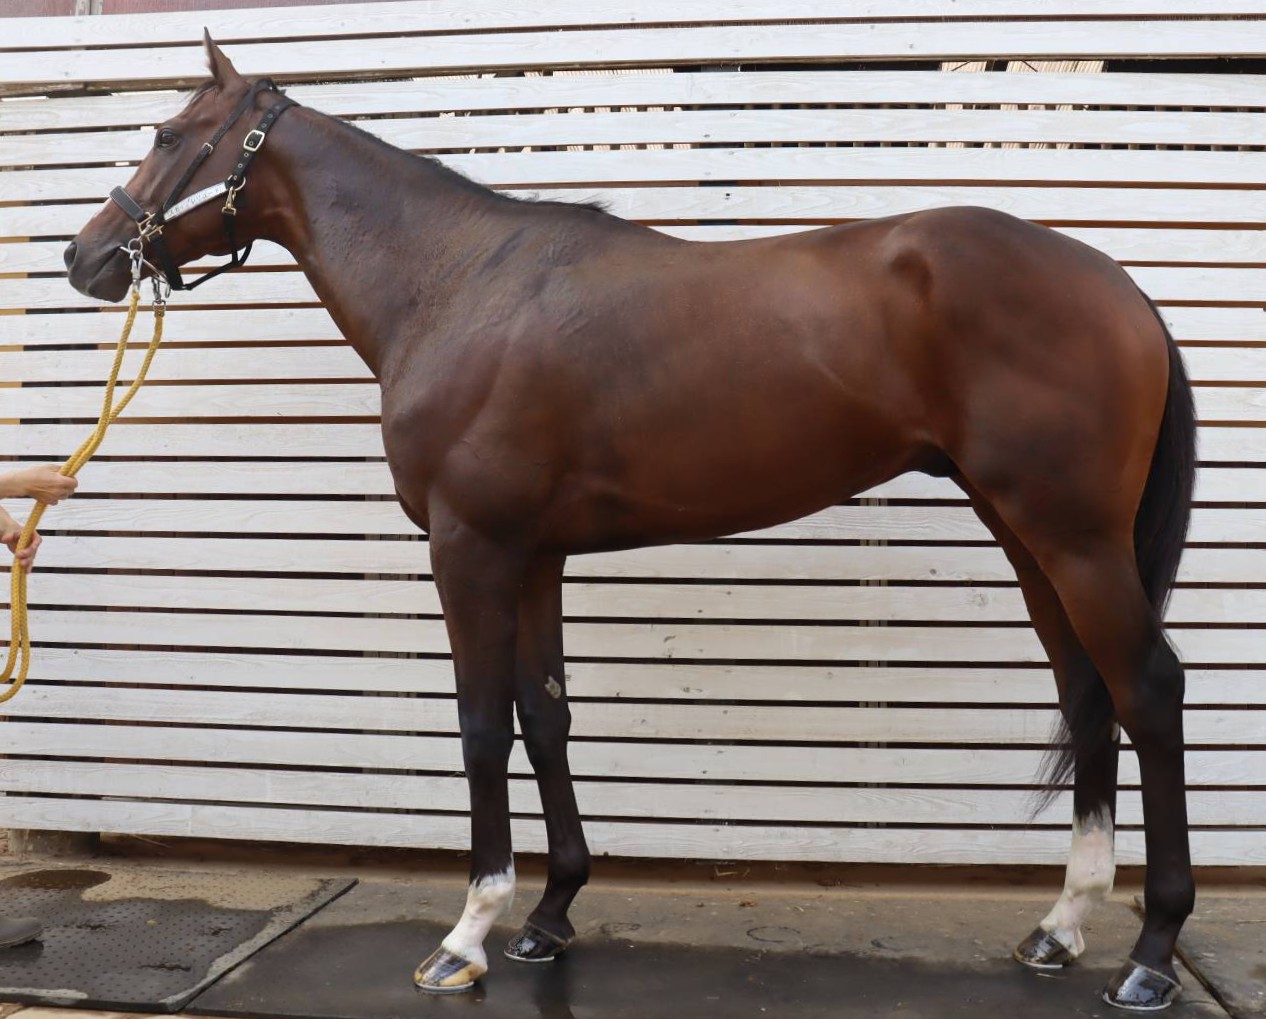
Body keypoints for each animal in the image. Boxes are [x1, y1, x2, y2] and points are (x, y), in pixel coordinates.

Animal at [64, 36, 1197, 1012]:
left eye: (168, 133)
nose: (87, 256)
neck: (457, 283)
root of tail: (1118, 286)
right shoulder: (533, 555)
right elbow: (546, 715)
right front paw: (549, 914)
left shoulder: (468, 549)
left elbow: (482, 726)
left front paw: (466, 936)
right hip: (1028, 534)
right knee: (1087, 690)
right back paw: (1060, 925)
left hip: (1074, 538)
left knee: (1146, 687)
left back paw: (1149, 954)